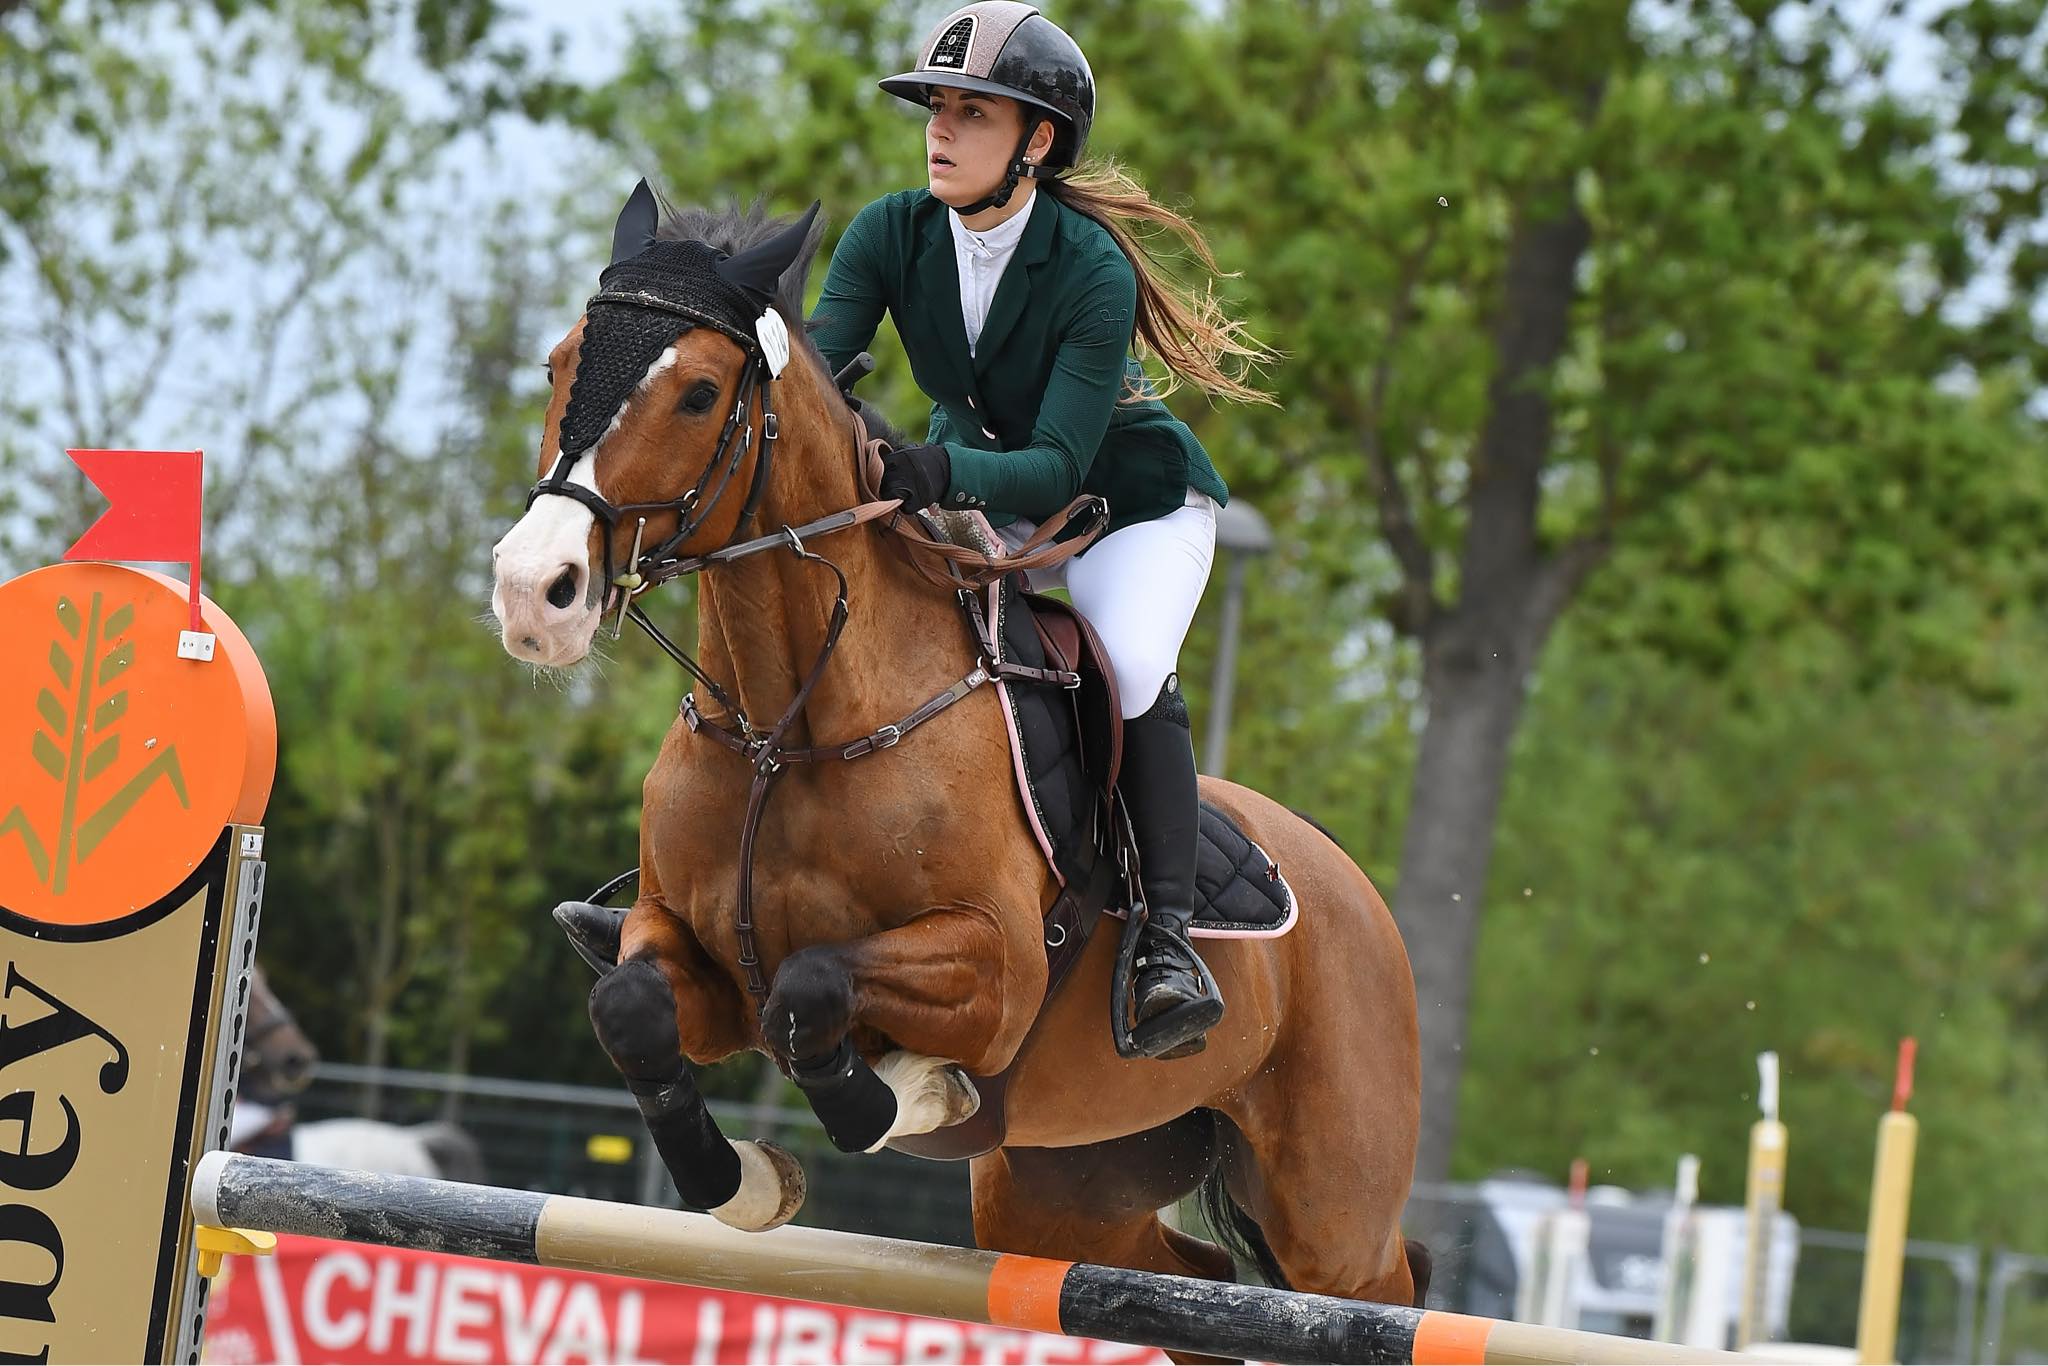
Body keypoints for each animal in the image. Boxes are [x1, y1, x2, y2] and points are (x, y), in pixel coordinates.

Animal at [491, 187, 1425, 1318]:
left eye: (700, 393)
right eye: (558, 363)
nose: (531, 593)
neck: (786, 733)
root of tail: (1355, 889)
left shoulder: (995, 969)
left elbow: (812, 986)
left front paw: (909, 1093)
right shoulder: (690, 957)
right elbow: (632, 1007)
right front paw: (744, 1180)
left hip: (1333, 1213)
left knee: (1384, 1283)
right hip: (1068, 1187)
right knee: (1185, 1278)